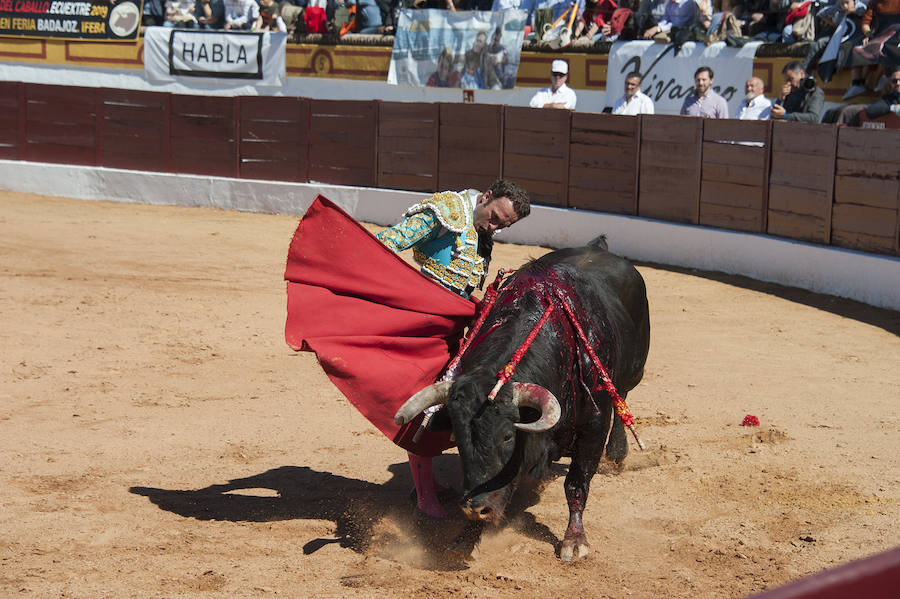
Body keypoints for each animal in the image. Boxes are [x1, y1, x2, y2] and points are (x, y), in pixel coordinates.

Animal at [394, 238, 648, 564]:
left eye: (507, 437)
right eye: (459, 438)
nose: (475, 509)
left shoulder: (594, 424)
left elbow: (577, 482)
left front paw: (574, 540)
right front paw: (466, 537)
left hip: (633, 371)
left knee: (623, 398)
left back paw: (617, 453)